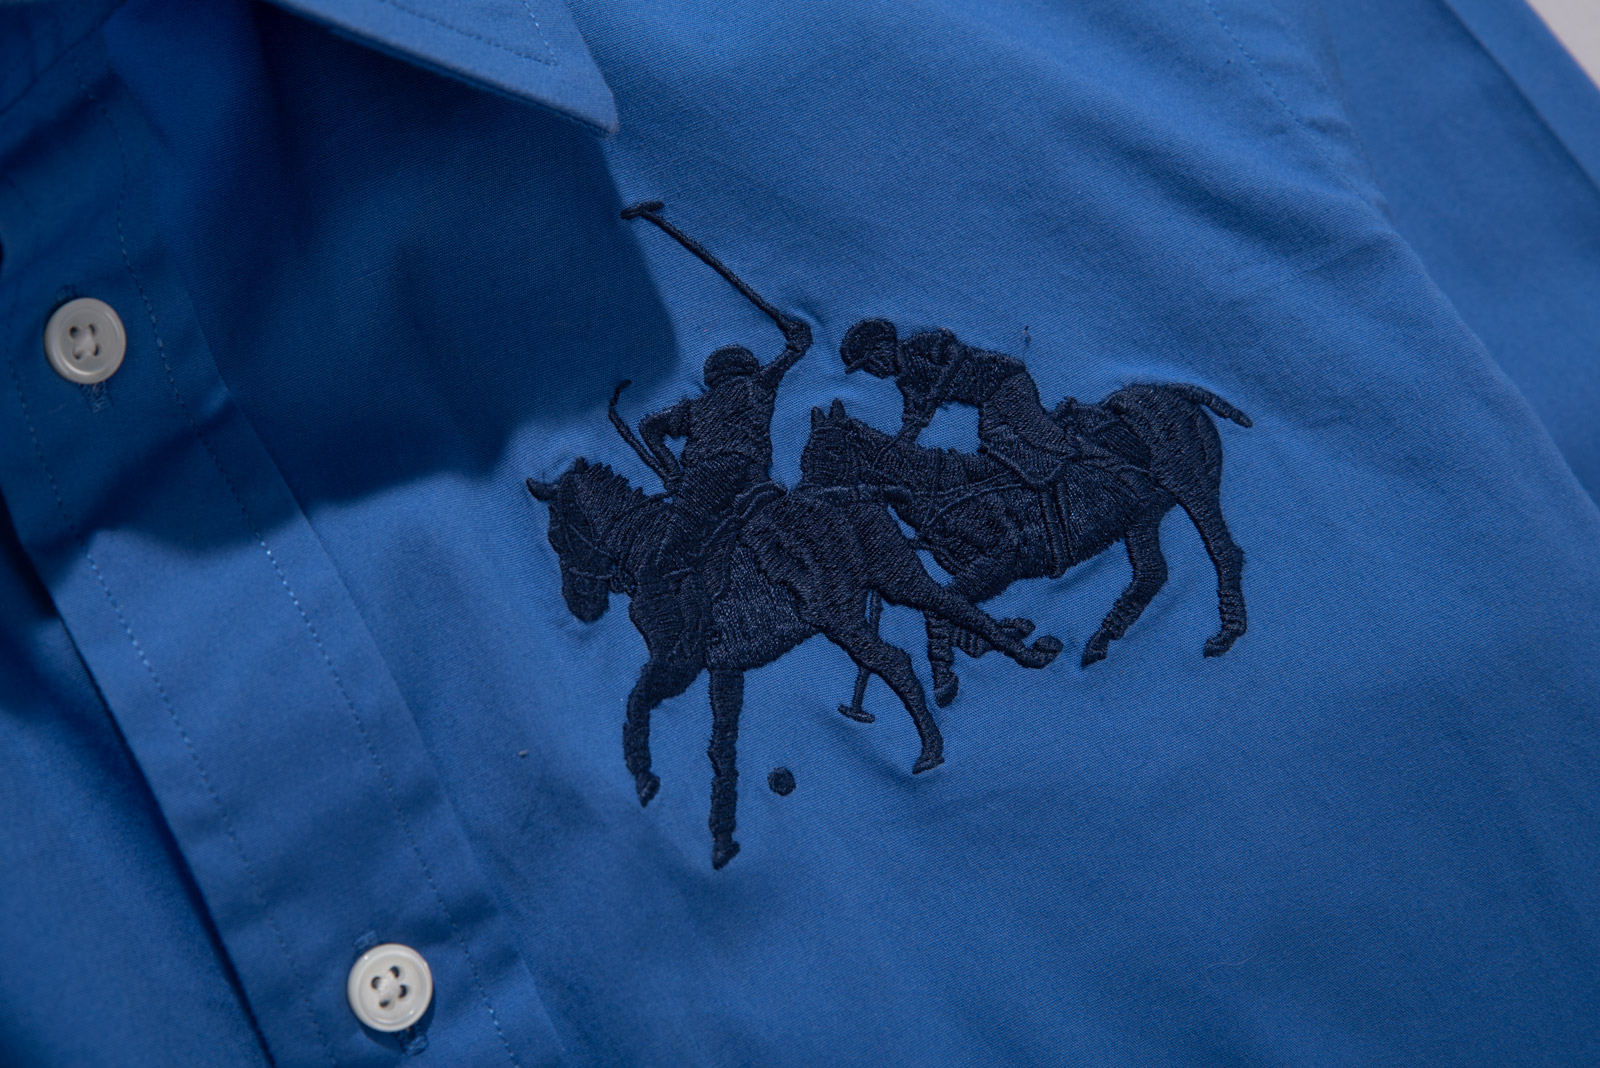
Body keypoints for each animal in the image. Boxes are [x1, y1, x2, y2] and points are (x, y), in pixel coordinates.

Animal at [527, 458, 1062, 867]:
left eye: (556, 535)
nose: (581, 609)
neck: (649, 554)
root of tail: (857, 491)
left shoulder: (680, 662)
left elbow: (638, 700)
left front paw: (643, 776)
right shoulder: (725, 669)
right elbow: (722, 751)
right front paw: (722, 839)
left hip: (845, 607)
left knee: (898, 655)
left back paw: (933, 745)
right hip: (892, 577)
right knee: (951, 611)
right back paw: (1024, 656)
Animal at [799, 382, 1250, 705]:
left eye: (831, 453)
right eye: (803, 457)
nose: (801, 507)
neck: (942, 487)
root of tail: (1178, 391)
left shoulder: (1003, 561)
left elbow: (943, 608)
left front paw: (945, 679)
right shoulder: (974, 569)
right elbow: (960, 611)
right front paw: (1001, 636)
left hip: (1187, 480)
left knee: (1223, 550)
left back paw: (1227, 634)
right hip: (1142, 511)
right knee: (1151, 573)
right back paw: (1100, 641)